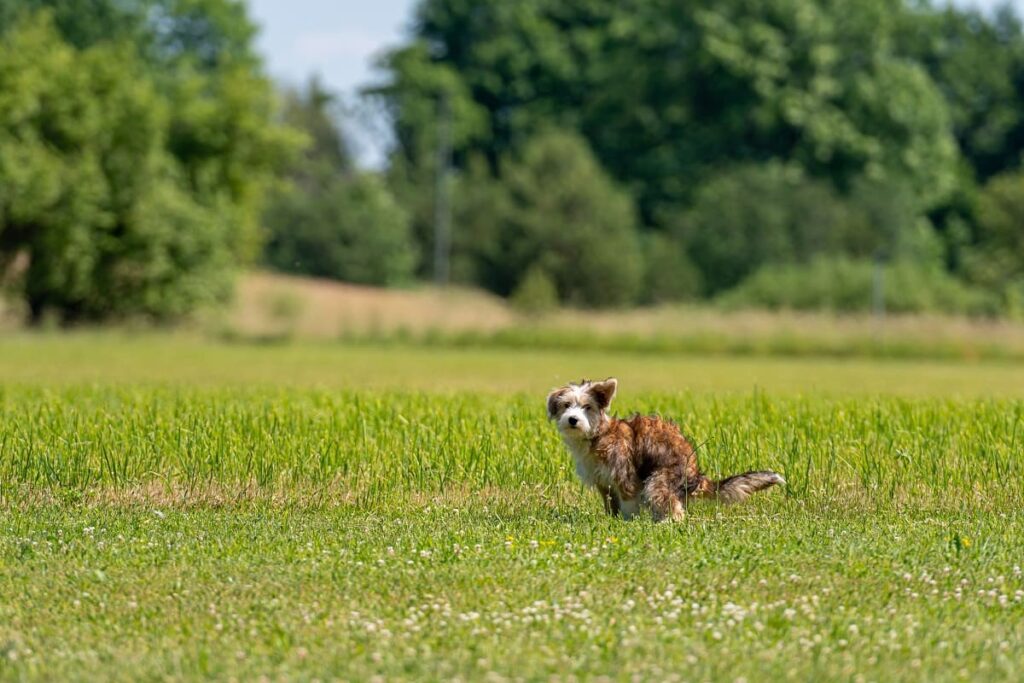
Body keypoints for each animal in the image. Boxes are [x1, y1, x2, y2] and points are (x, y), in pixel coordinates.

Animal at [552, 376, 782, 520]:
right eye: (566, 405)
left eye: (587, 407)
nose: (572, 419)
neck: (597, 435)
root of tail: (696, 475)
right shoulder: (603, 482)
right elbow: (611, 503)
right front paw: (611, 520)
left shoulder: (625, 475)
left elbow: (628, 502)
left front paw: (626, 522)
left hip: (660, 480)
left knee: (674, 508)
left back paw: (666, 522)